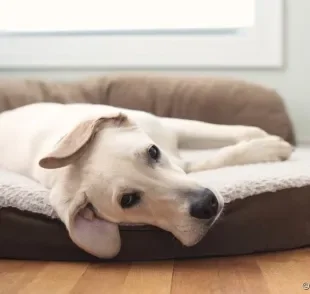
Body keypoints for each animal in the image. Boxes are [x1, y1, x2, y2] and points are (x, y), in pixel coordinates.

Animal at [0, 103, 294, 258]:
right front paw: (269, 149)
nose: (207, 204)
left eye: (153, 152)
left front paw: (264, 139)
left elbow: (223, 134)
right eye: (128, 200)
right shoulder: (185, 164)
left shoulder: (171, 130)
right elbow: (216, 158)